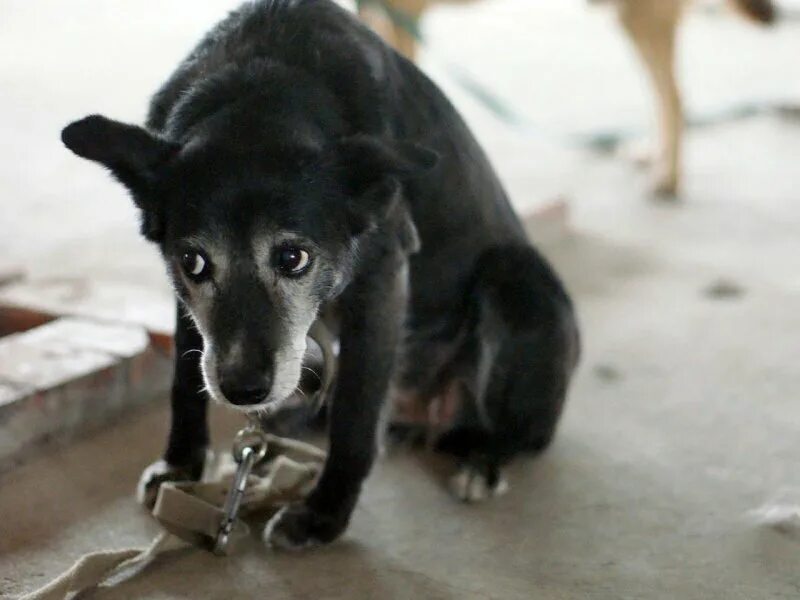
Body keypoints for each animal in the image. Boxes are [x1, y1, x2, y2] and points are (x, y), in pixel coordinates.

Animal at [61, 0, 576, 548]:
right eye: (194, 262)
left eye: (293, 258)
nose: (244, 391)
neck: (259, 84)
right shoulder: (185, 301)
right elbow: (184, 378)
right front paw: (181, 465)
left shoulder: (383, 278)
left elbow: (356, 411)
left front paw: (324, 515)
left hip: (514, 281)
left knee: (520, 434)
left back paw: (482, 461)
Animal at [360, 0, 776, 195]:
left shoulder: (400, 16)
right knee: (663, 95)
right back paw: (650, 155)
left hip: (638, 17)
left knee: (674, 97)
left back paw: (667, 178)